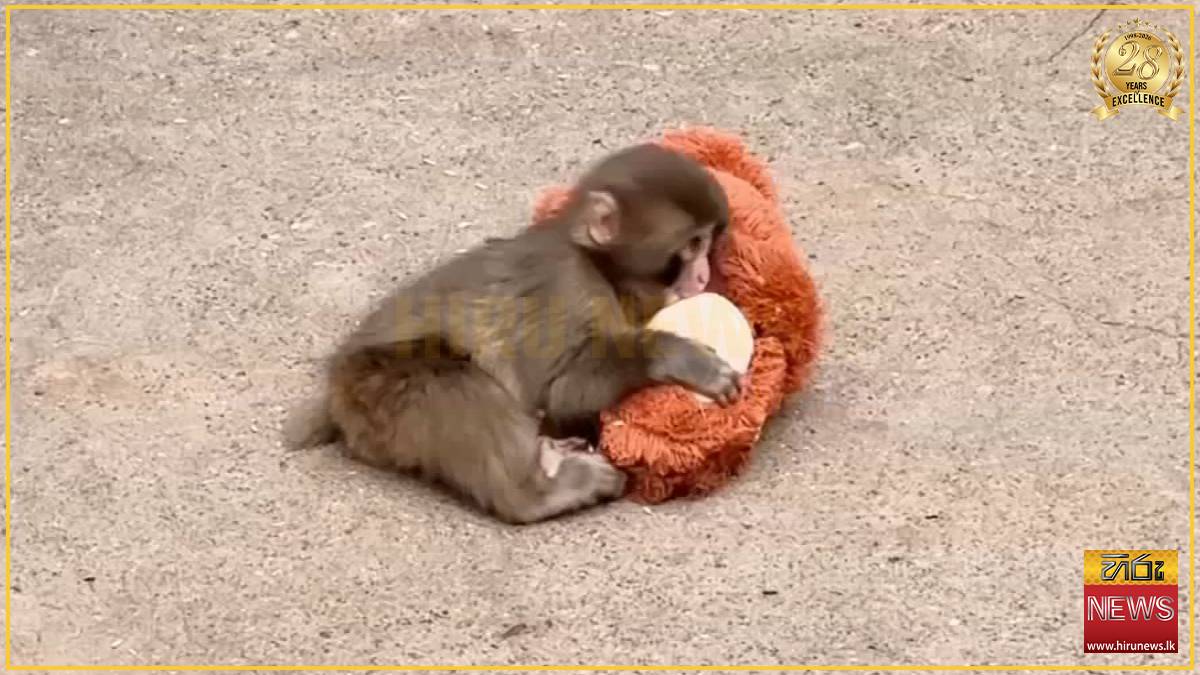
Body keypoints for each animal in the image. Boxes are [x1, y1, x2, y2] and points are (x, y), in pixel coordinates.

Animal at [284, 143, 740, 524]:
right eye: (691, 244)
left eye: (710, 241)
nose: (704, 276)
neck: (602, 269)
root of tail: (334, 396)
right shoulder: (568, 287)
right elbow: (561, 391)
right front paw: (677, 357)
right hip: (376, 391)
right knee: (456, 384)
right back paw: (539, 494)